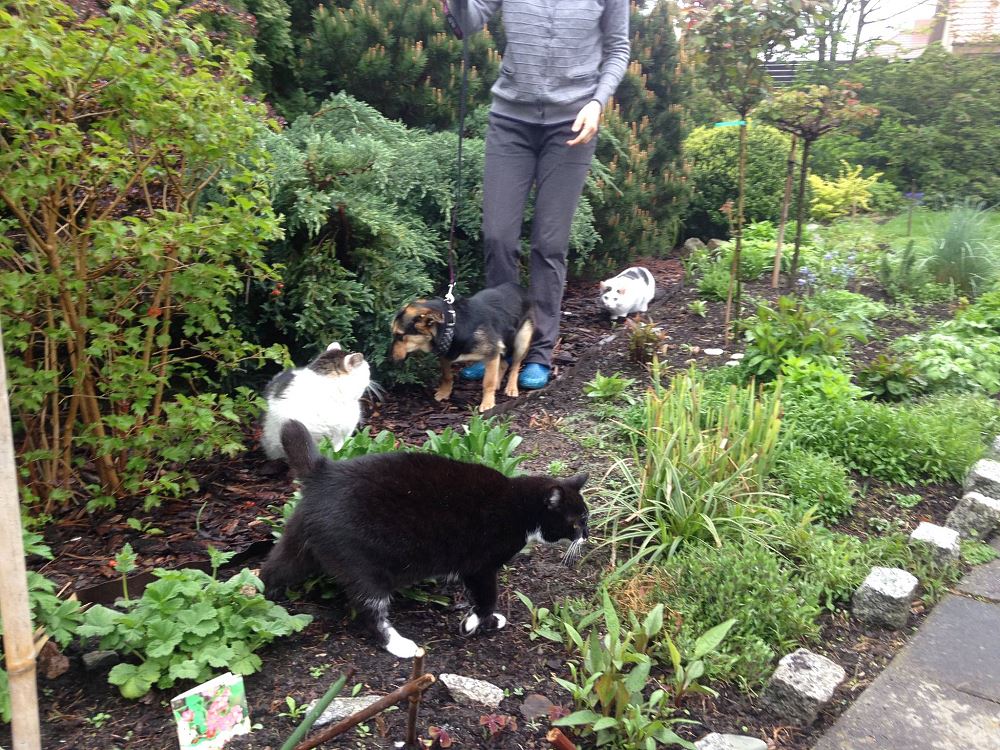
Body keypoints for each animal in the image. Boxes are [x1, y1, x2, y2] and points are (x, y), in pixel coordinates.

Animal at [261, 419, 589, 658]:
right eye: (577, 521)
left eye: (586, 517)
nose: (586, 536)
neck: (519, 506)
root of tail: (323, 474)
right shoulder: (480, 566)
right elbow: (486, 597)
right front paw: (477, 622)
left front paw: (483, 621)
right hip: (364, 566)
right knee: (369, 610)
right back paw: (398, 644)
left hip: (299, 544)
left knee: (273, 568)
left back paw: (261, 598)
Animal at [390, 282, 534, 412]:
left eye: (399, 335)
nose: (391, 360)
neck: (451, 327)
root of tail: (519, 287)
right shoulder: (446, 355)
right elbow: (447, 376)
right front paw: (444, 392)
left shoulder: (492, 353)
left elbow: (488, 382)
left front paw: (488, 403)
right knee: (504, 364)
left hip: (522, 340)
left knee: (515, 365)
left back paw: (511, 387)